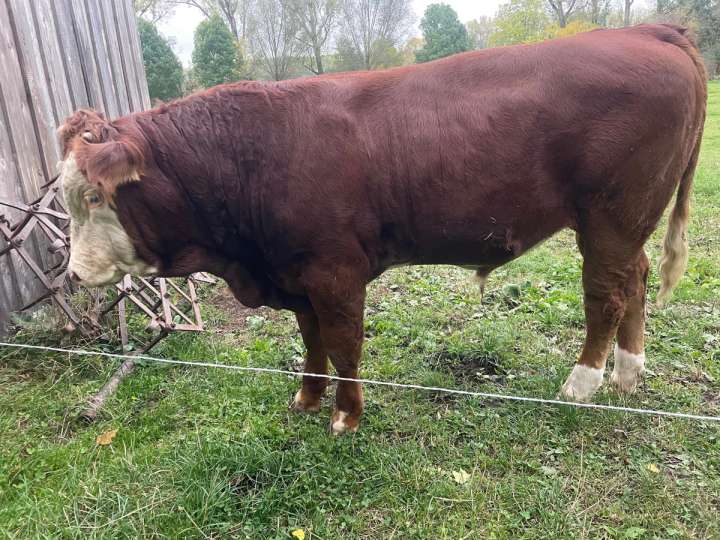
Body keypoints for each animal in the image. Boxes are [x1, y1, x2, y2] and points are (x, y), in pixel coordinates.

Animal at [58, 24, 707, 434]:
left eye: (93, 195)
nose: (74, 273)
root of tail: (650, 30)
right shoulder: (297, 275)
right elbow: (312, 340)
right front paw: (306, 398)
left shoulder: (335, 270)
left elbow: (344, 343)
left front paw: (345, 416)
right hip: (627, 221)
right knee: (636, 280)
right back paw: (627, 375)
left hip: (610, 214)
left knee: (607, 293)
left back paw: (583, 383)